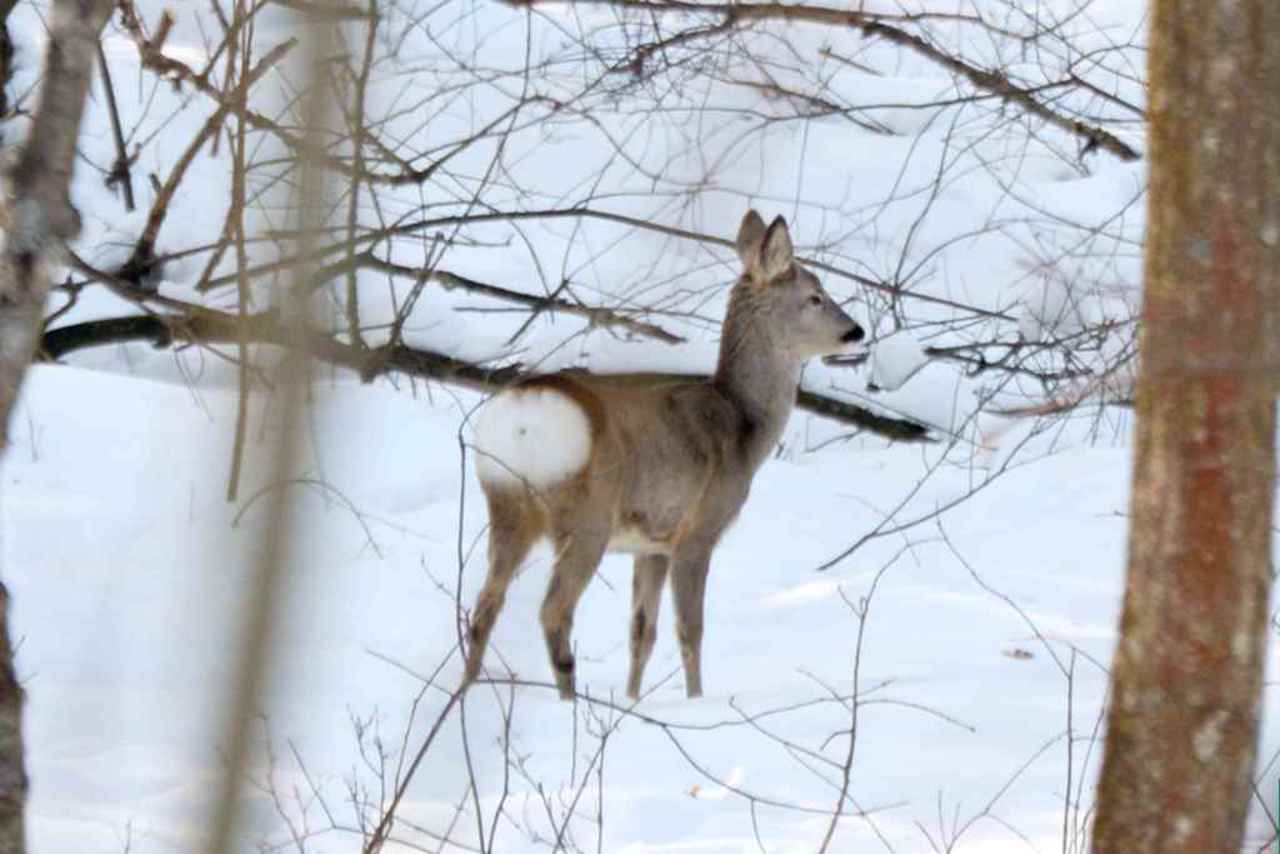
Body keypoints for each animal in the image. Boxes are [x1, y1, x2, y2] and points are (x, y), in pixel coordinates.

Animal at [465, 212, 865, 701]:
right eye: (815, 296)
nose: (856, 332)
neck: (743, 425)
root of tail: (524, 415)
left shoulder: (651, 542)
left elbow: (642, 631)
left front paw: (634, 701)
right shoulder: (698, 527)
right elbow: (689, 629)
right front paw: (695, 699)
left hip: (504, 501)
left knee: (485, 606)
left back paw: (460, 697)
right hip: (587, 515)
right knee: (553, 611)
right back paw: (565, 699)